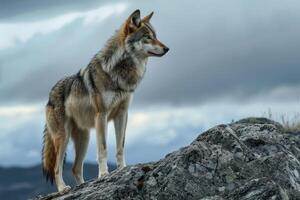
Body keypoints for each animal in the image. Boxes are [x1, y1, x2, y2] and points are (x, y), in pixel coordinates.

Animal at [41, 9, 169, 192]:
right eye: (148, 37)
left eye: (155, 36)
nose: (167, 48)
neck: (121, 73)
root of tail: (50, 96)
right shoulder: (102, 115)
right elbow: (103, 149)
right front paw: (103, 175)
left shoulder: (122, 114)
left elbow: (120, 146)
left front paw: (122, 169)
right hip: (63, 138)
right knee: (56, 167)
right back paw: (63, 189)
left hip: (84, 139)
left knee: (75, 168)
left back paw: (83, 186)